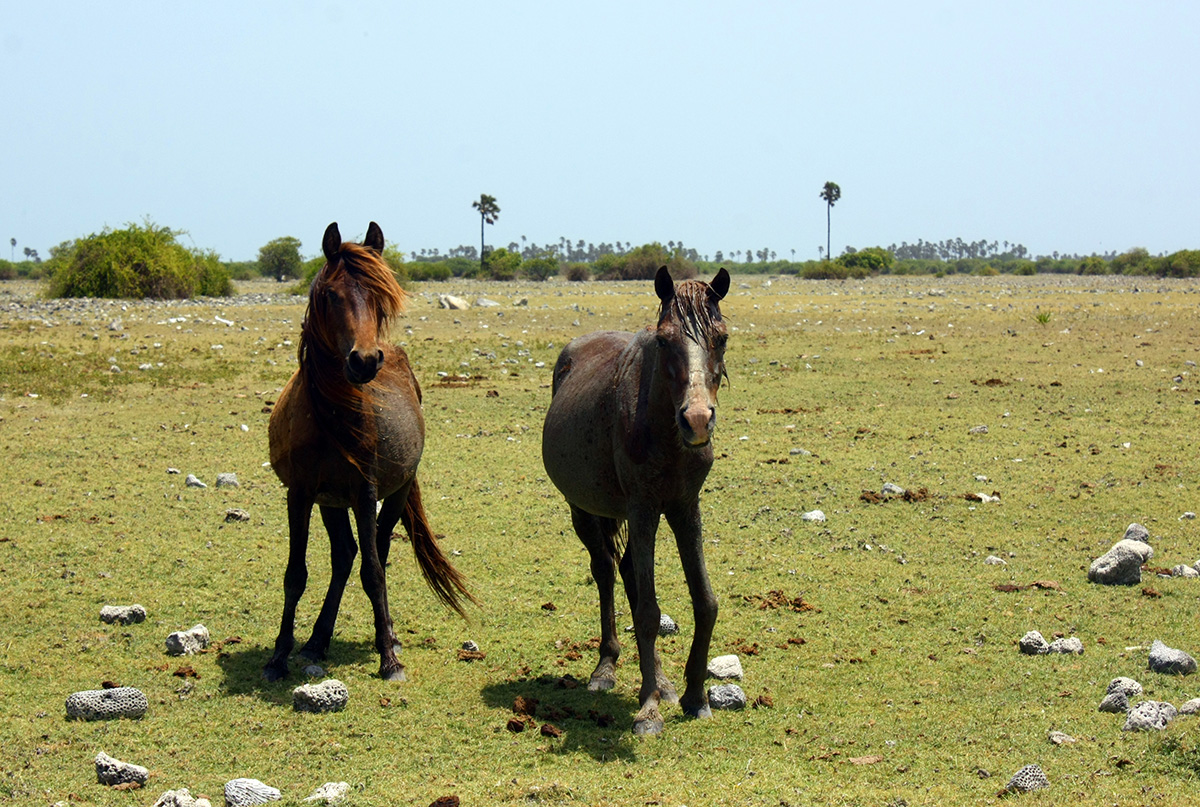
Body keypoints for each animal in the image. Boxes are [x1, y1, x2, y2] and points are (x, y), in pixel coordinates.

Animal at [262, 220, 472, 682]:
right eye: (330, 295)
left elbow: (373, 573)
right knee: (344, 557)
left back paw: (385, 635)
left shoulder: (366, 491)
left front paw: (389, 659)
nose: (364, 360)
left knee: (376, 551)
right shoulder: (300, 494)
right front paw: (279, 656)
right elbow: (295, 574)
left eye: (381, 296)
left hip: (392, 494)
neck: (329, 417)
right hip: (330, 501)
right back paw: (317, 641)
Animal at [544, 267, 729, 734]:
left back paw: (662, 681)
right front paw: (648, 709)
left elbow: (705, 601)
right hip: (584, 511)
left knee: (626, 570)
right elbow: (646, 612)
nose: (696, 420)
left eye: (721, 337)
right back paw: (606, 668)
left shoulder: (685, 507)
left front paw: (694, 696)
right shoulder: (643, 508)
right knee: (607, 571)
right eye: (663, 340)